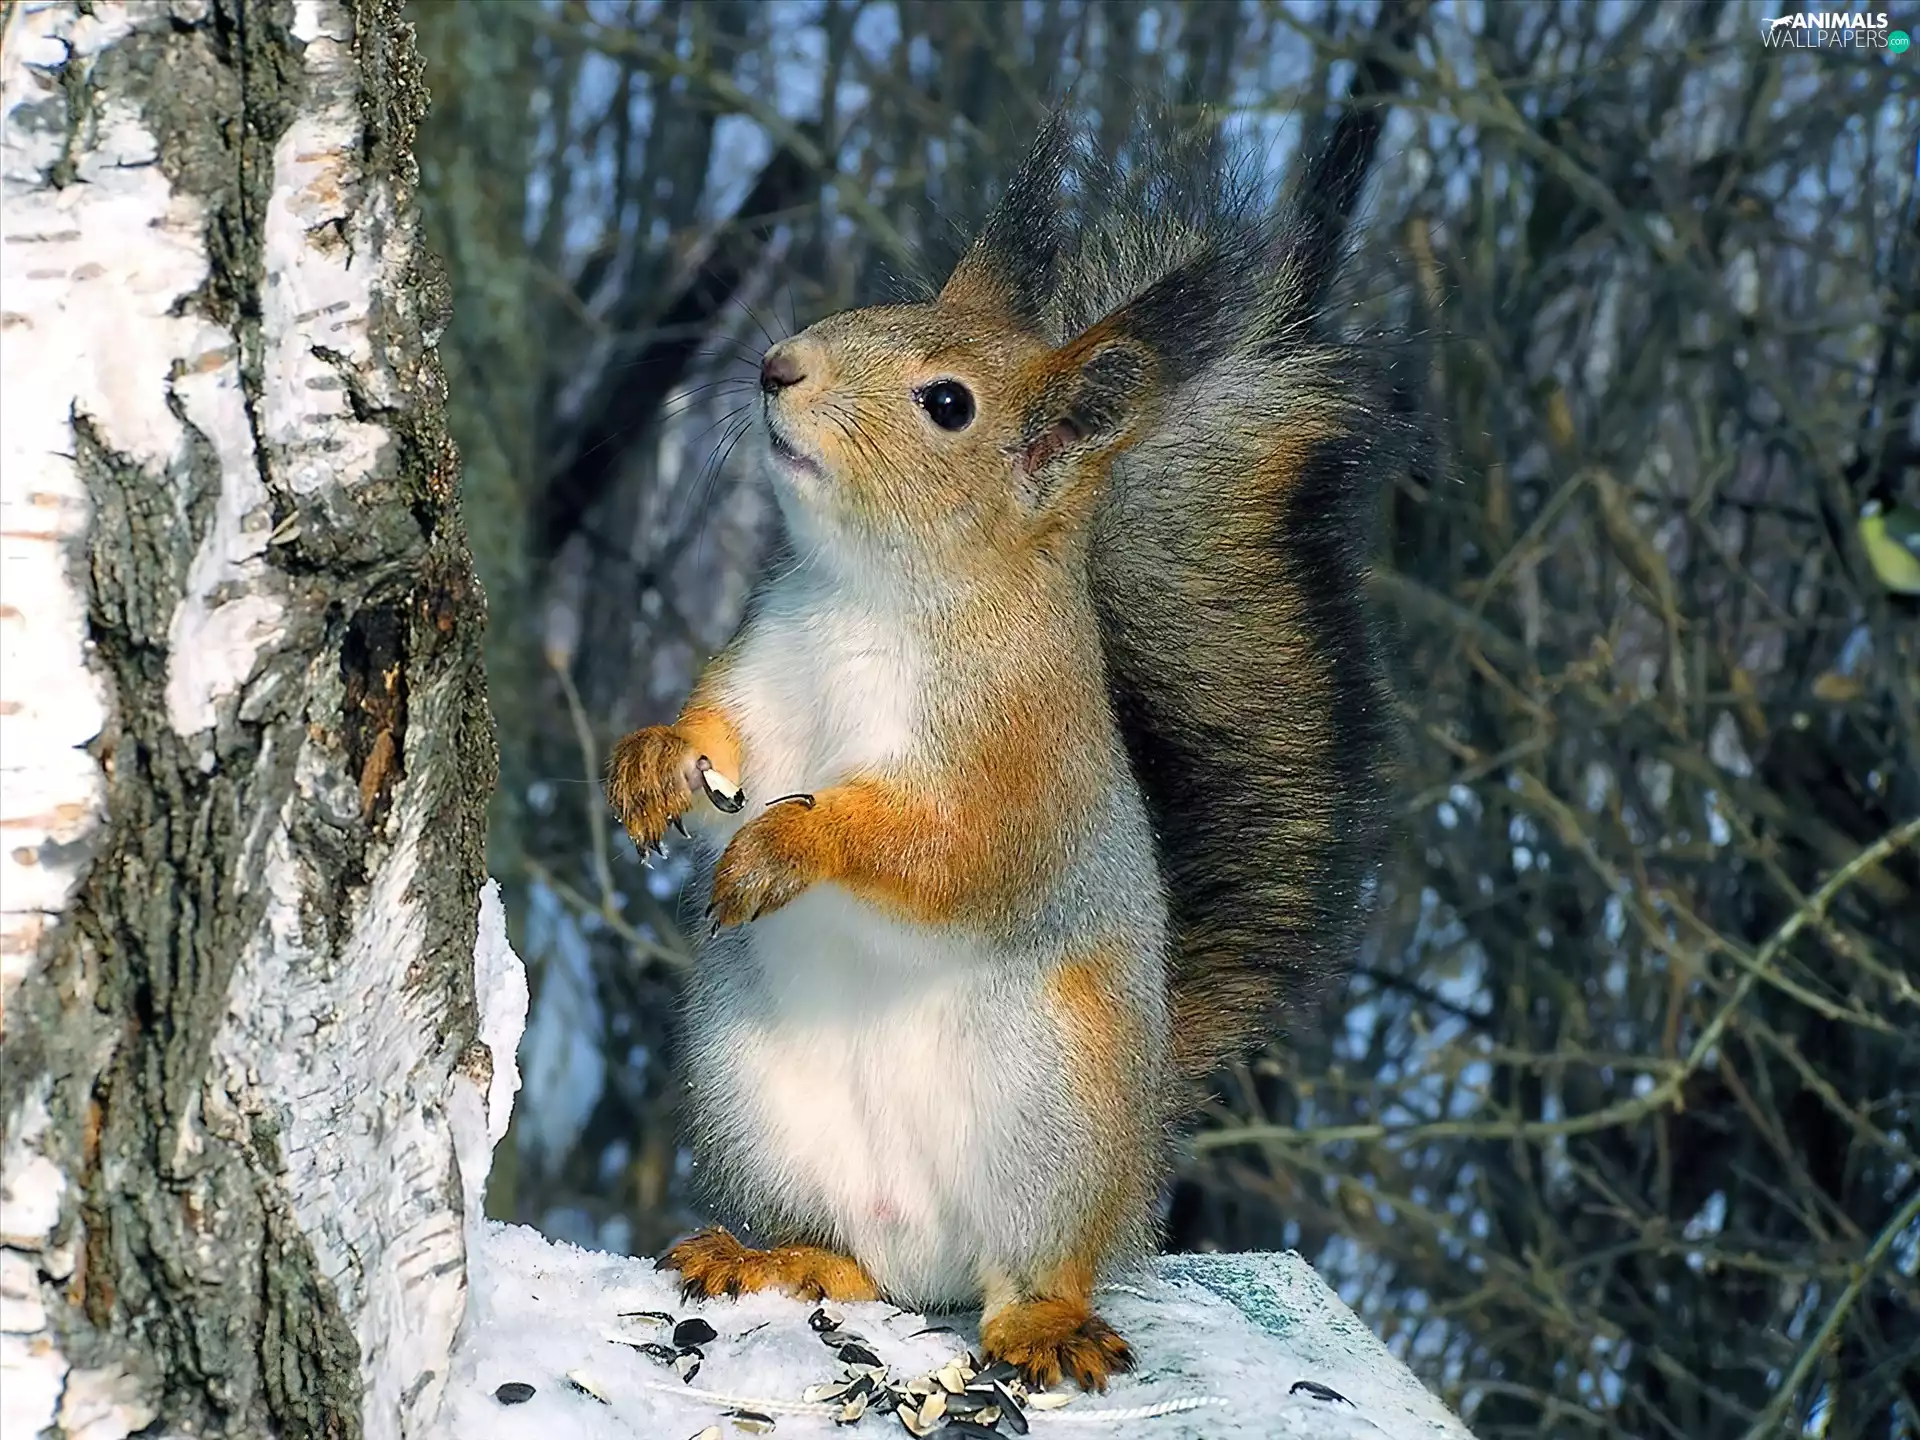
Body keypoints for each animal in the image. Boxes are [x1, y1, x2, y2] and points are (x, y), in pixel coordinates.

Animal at [607, 108, 1409, 1393]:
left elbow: (952, 849)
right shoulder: (763, 673)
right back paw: (771, 1257)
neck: (875, 594)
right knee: (852, 1262)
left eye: (947, 405)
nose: (780, 365)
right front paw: (650, 762)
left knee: (1033, 1268)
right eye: (869, 307)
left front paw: (789, 846)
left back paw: (1042, 1322)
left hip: (1052, 1120)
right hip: (754, 1104)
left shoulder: (1021, 760)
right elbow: (718, 733)